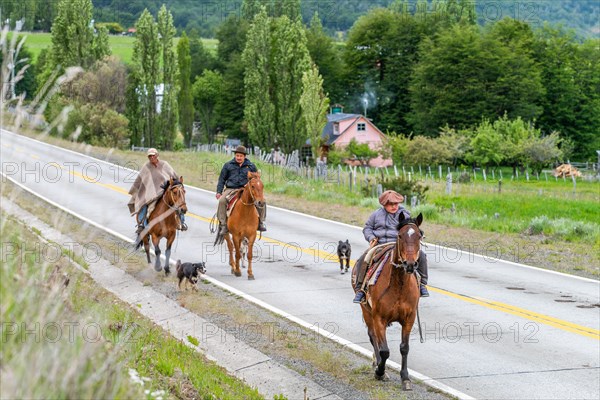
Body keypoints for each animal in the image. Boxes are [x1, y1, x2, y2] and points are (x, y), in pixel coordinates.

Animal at [354, 214, 424, 390]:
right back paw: (379, 366)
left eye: (419, 236)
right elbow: (384, 350)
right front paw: (380, 372)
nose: (410, 264)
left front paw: (405, 378)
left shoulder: (409, 318)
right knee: (373, 337)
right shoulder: (379, 318)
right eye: (400, 235)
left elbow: (404, 348)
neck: (399, 286)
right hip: (366, 310)